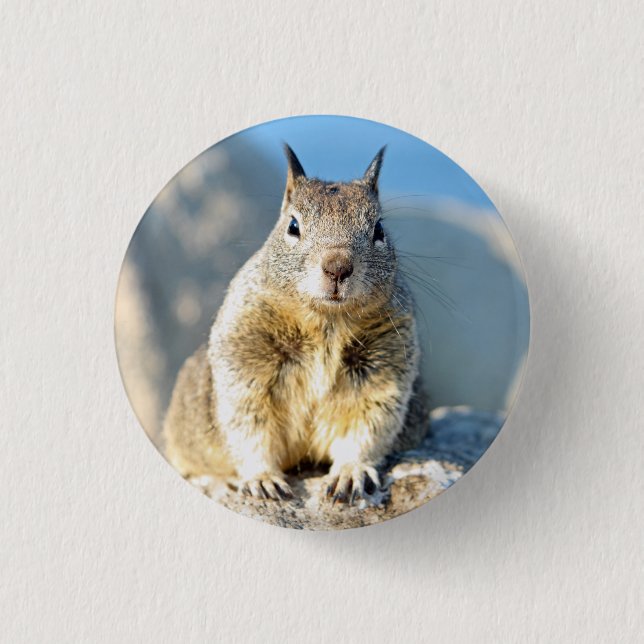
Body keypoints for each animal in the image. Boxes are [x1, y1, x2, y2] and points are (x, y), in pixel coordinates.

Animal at [163, 145, 429, 505]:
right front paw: (262, 479)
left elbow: (367, 426)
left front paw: (351, 472)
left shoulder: (384, 370)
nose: (338, 267)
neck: (326, 323)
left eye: (379, 230)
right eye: (292, 226)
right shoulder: (245, 360)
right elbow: (249, 426)